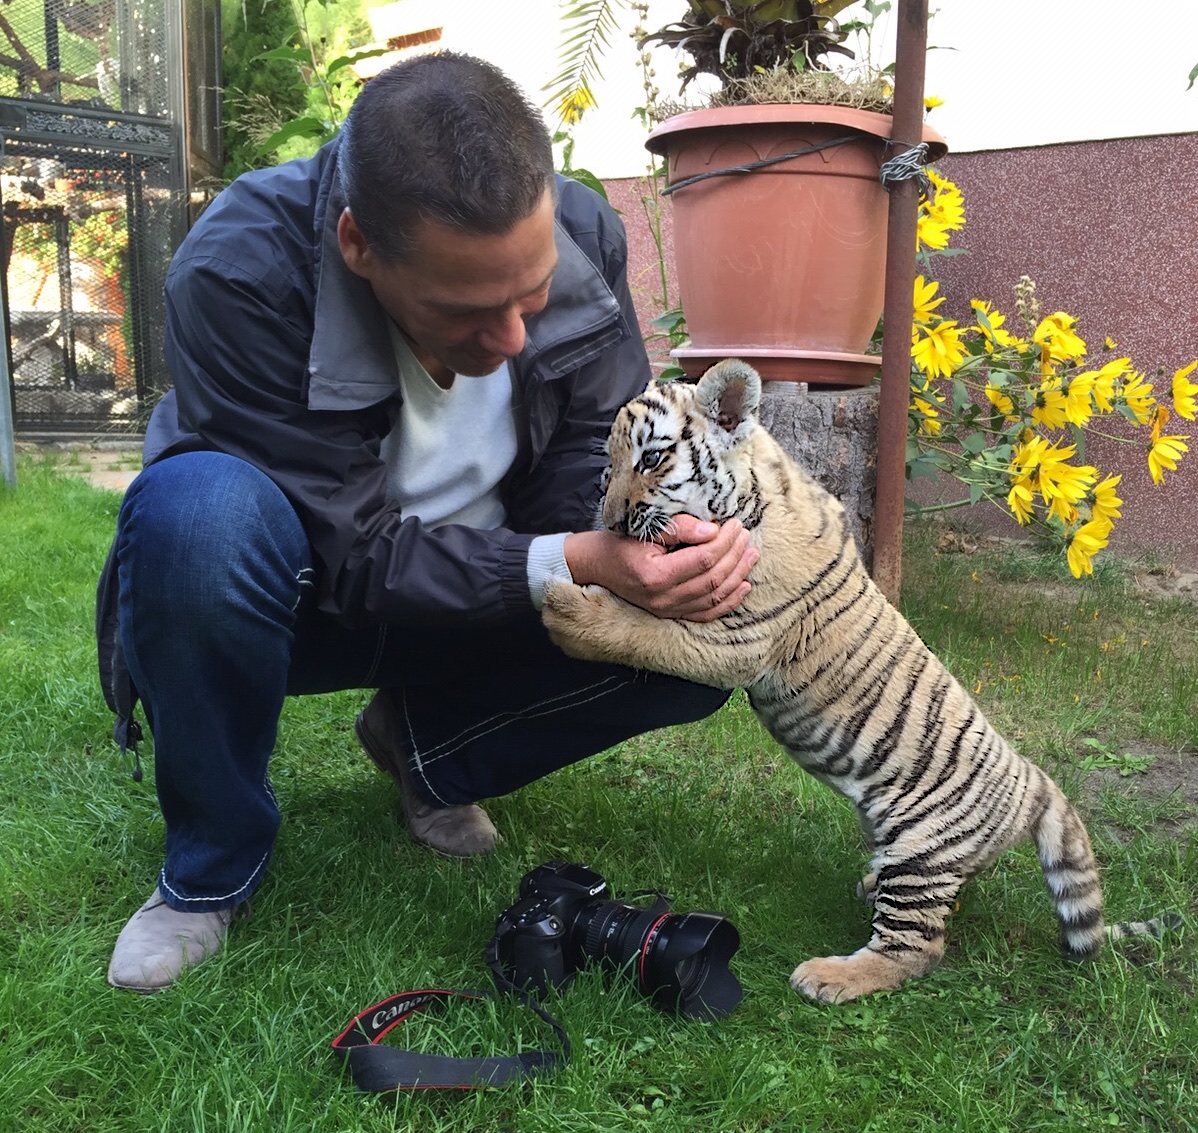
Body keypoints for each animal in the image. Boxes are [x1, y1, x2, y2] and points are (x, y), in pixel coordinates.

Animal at [542, 358, 1178, 1004]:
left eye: (651, 458)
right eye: (607, 467)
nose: (609, 521)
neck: (754, 491)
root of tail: (1033, 779)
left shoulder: (729, 639)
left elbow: (640, 629)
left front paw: (564, 607)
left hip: (921, 847)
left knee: (916, 948)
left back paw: (828, 976)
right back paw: (868, 889)